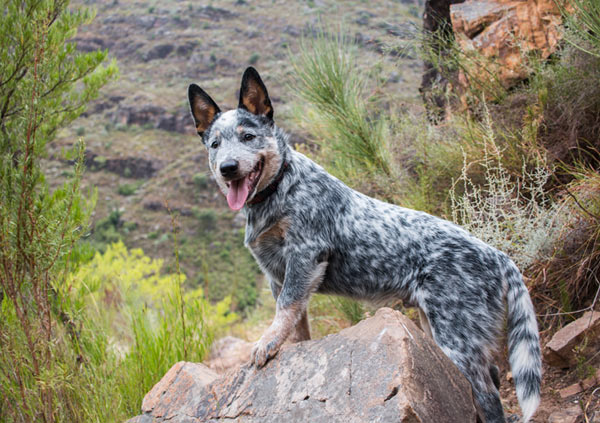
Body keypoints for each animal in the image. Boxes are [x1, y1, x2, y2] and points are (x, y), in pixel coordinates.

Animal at [189, 67, 544, 423]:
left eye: (248, 136)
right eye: (215, 144)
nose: (227, 168)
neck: (280, 189)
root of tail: (498, 256)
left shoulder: (305, 255)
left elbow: (285, 308)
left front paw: (266, 343)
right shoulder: (276, 273)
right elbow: (296, 323)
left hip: (459, 339)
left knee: (489, 396)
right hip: (436, 329)